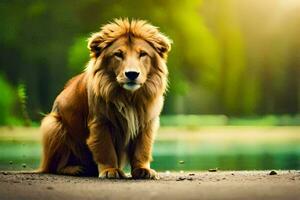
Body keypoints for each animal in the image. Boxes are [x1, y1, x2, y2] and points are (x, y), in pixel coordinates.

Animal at [38, 18, 171, 178]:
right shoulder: (100, 122)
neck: (129, 97)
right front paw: (110, 170)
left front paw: (143, 170)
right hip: (52, 124)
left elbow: (142, 149)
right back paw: (76, 169)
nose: (132, 74)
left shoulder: (147, 123)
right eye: (118, 54)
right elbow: (105, 149)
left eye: (143, 54)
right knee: (54, 167)